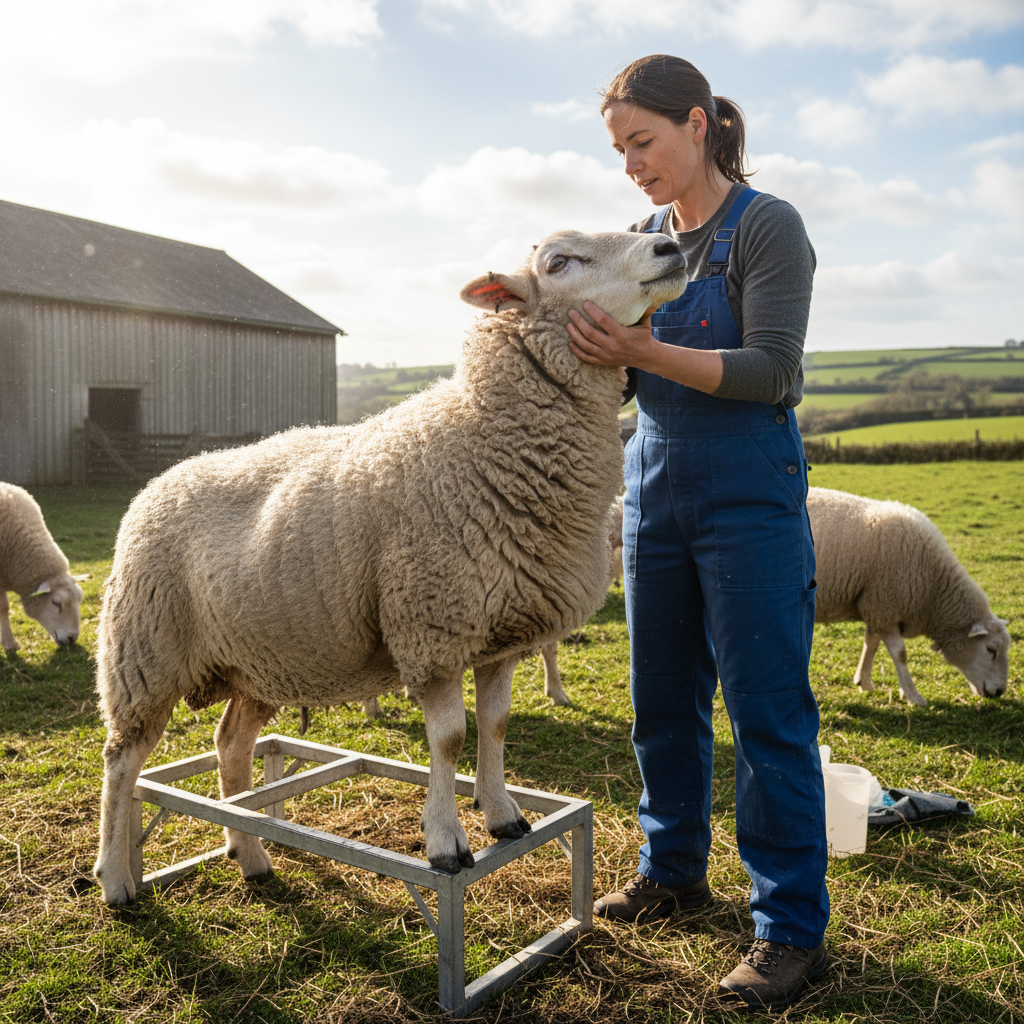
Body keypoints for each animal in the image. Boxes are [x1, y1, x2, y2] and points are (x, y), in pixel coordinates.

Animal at [93, 228, 688, 904]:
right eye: (558, 261)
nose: (670, 246)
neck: (486, 436)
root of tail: (155, 483)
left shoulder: (503, 634)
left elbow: (496, 725)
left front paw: (503, 814)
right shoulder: (433, 627)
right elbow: (451, 738)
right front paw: (446, 843)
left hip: (256, 659)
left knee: (230, 745)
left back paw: (249, 853)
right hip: (144, 653)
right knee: (121, 761)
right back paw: (116, 878)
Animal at [806, 486, 1011, 706]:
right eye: (991, 650)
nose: (999, 691)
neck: (934, 590)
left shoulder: (877, 607)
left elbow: (871, 643)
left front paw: (864, 681)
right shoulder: (885, 605)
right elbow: (900, 655)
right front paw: (913, 695)